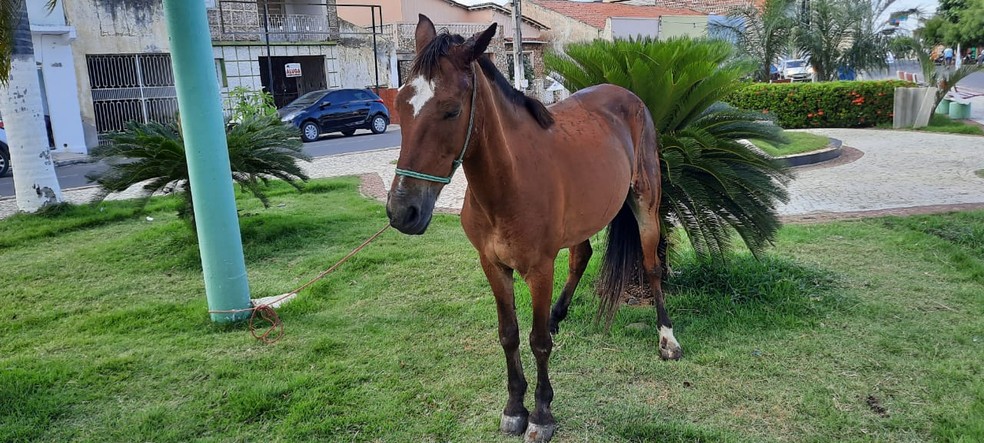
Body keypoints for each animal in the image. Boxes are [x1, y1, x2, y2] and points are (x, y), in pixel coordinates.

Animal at [385, 15, 681, 442]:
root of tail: (629, 96)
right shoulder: (493, 266)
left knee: (652, 266)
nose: (402, 211)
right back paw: (559, 314)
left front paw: (541, 414)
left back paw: (667, 338)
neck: (508, 183)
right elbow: (508, 334)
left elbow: (537, 342)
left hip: (647, 204)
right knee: (581, 256)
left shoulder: (539, 269)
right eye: (400, 106)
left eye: (451, 111)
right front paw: (514, 407)